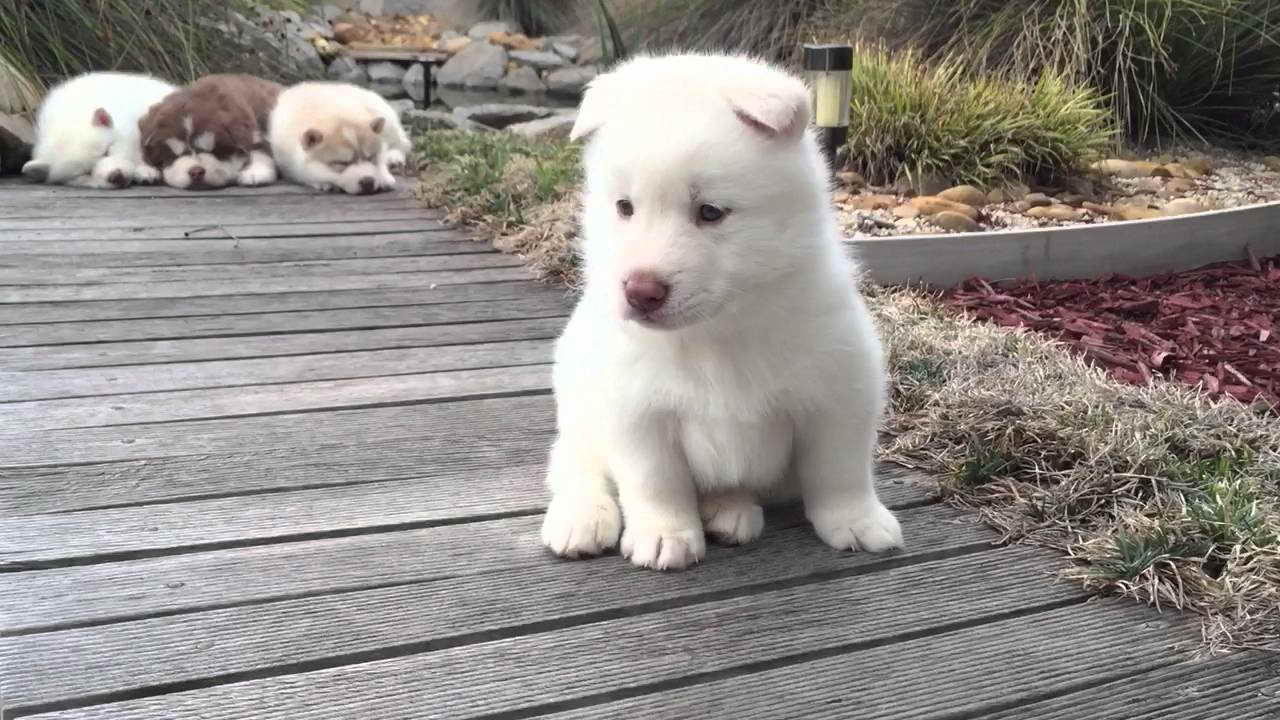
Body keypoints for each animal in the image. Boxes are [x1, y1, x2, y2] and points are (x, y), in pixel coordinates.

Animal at [537, 53, 901, 568]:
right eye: (625, 207)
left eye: (710, 212)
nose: (639, 291)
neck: (717, 332)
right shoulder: (636, 411)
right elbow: (656, 483)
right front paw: (665, 534)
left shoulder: (840, 392)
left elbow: (841, 470)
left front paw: (857, 520)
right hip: (579, 408)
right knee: (575, 467)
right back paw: (581, 518)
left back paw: (729, 509)